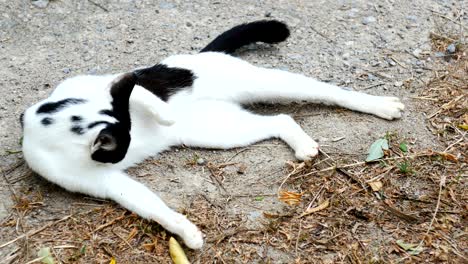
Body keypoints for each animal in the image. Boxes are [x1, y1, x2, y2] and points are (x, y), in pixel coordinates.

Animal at [20, 19, 404, 249]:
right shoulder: (104, 181)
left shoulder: (94, 83)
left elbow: (137, 90)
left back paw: (382, 105)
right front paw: (185, 231)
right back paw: (304, 145)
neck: (58, 128)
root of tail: (205, 54)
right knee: (280, 119)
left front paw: (162, 113)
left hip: (268, 83)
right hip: (221, 130)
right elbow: (152, 206)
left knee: (330, 92)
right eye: (122, 150)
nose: (131, 139)